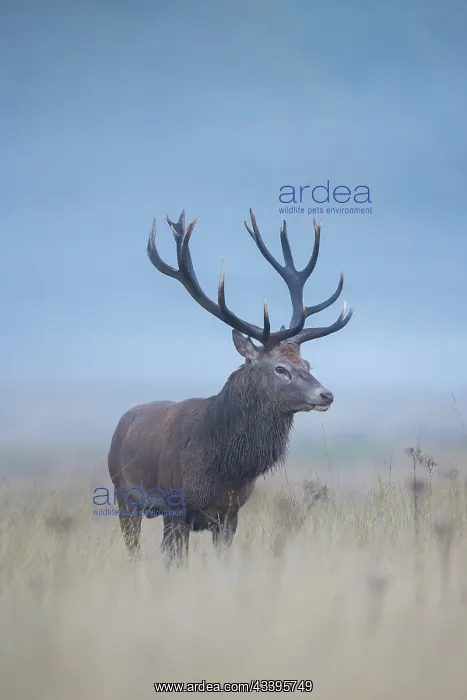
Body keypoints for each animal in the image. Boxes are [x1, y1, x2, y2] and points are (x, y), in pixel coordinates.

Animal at [107, 209, 353, 564]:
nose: (326, 394)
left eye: (307, 365)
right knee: (133, 546)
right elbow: (175, 563)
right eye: (281, 369)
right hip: (123, 495)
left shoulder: (230, 514)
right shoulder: (175, 506)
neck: (225, 469)